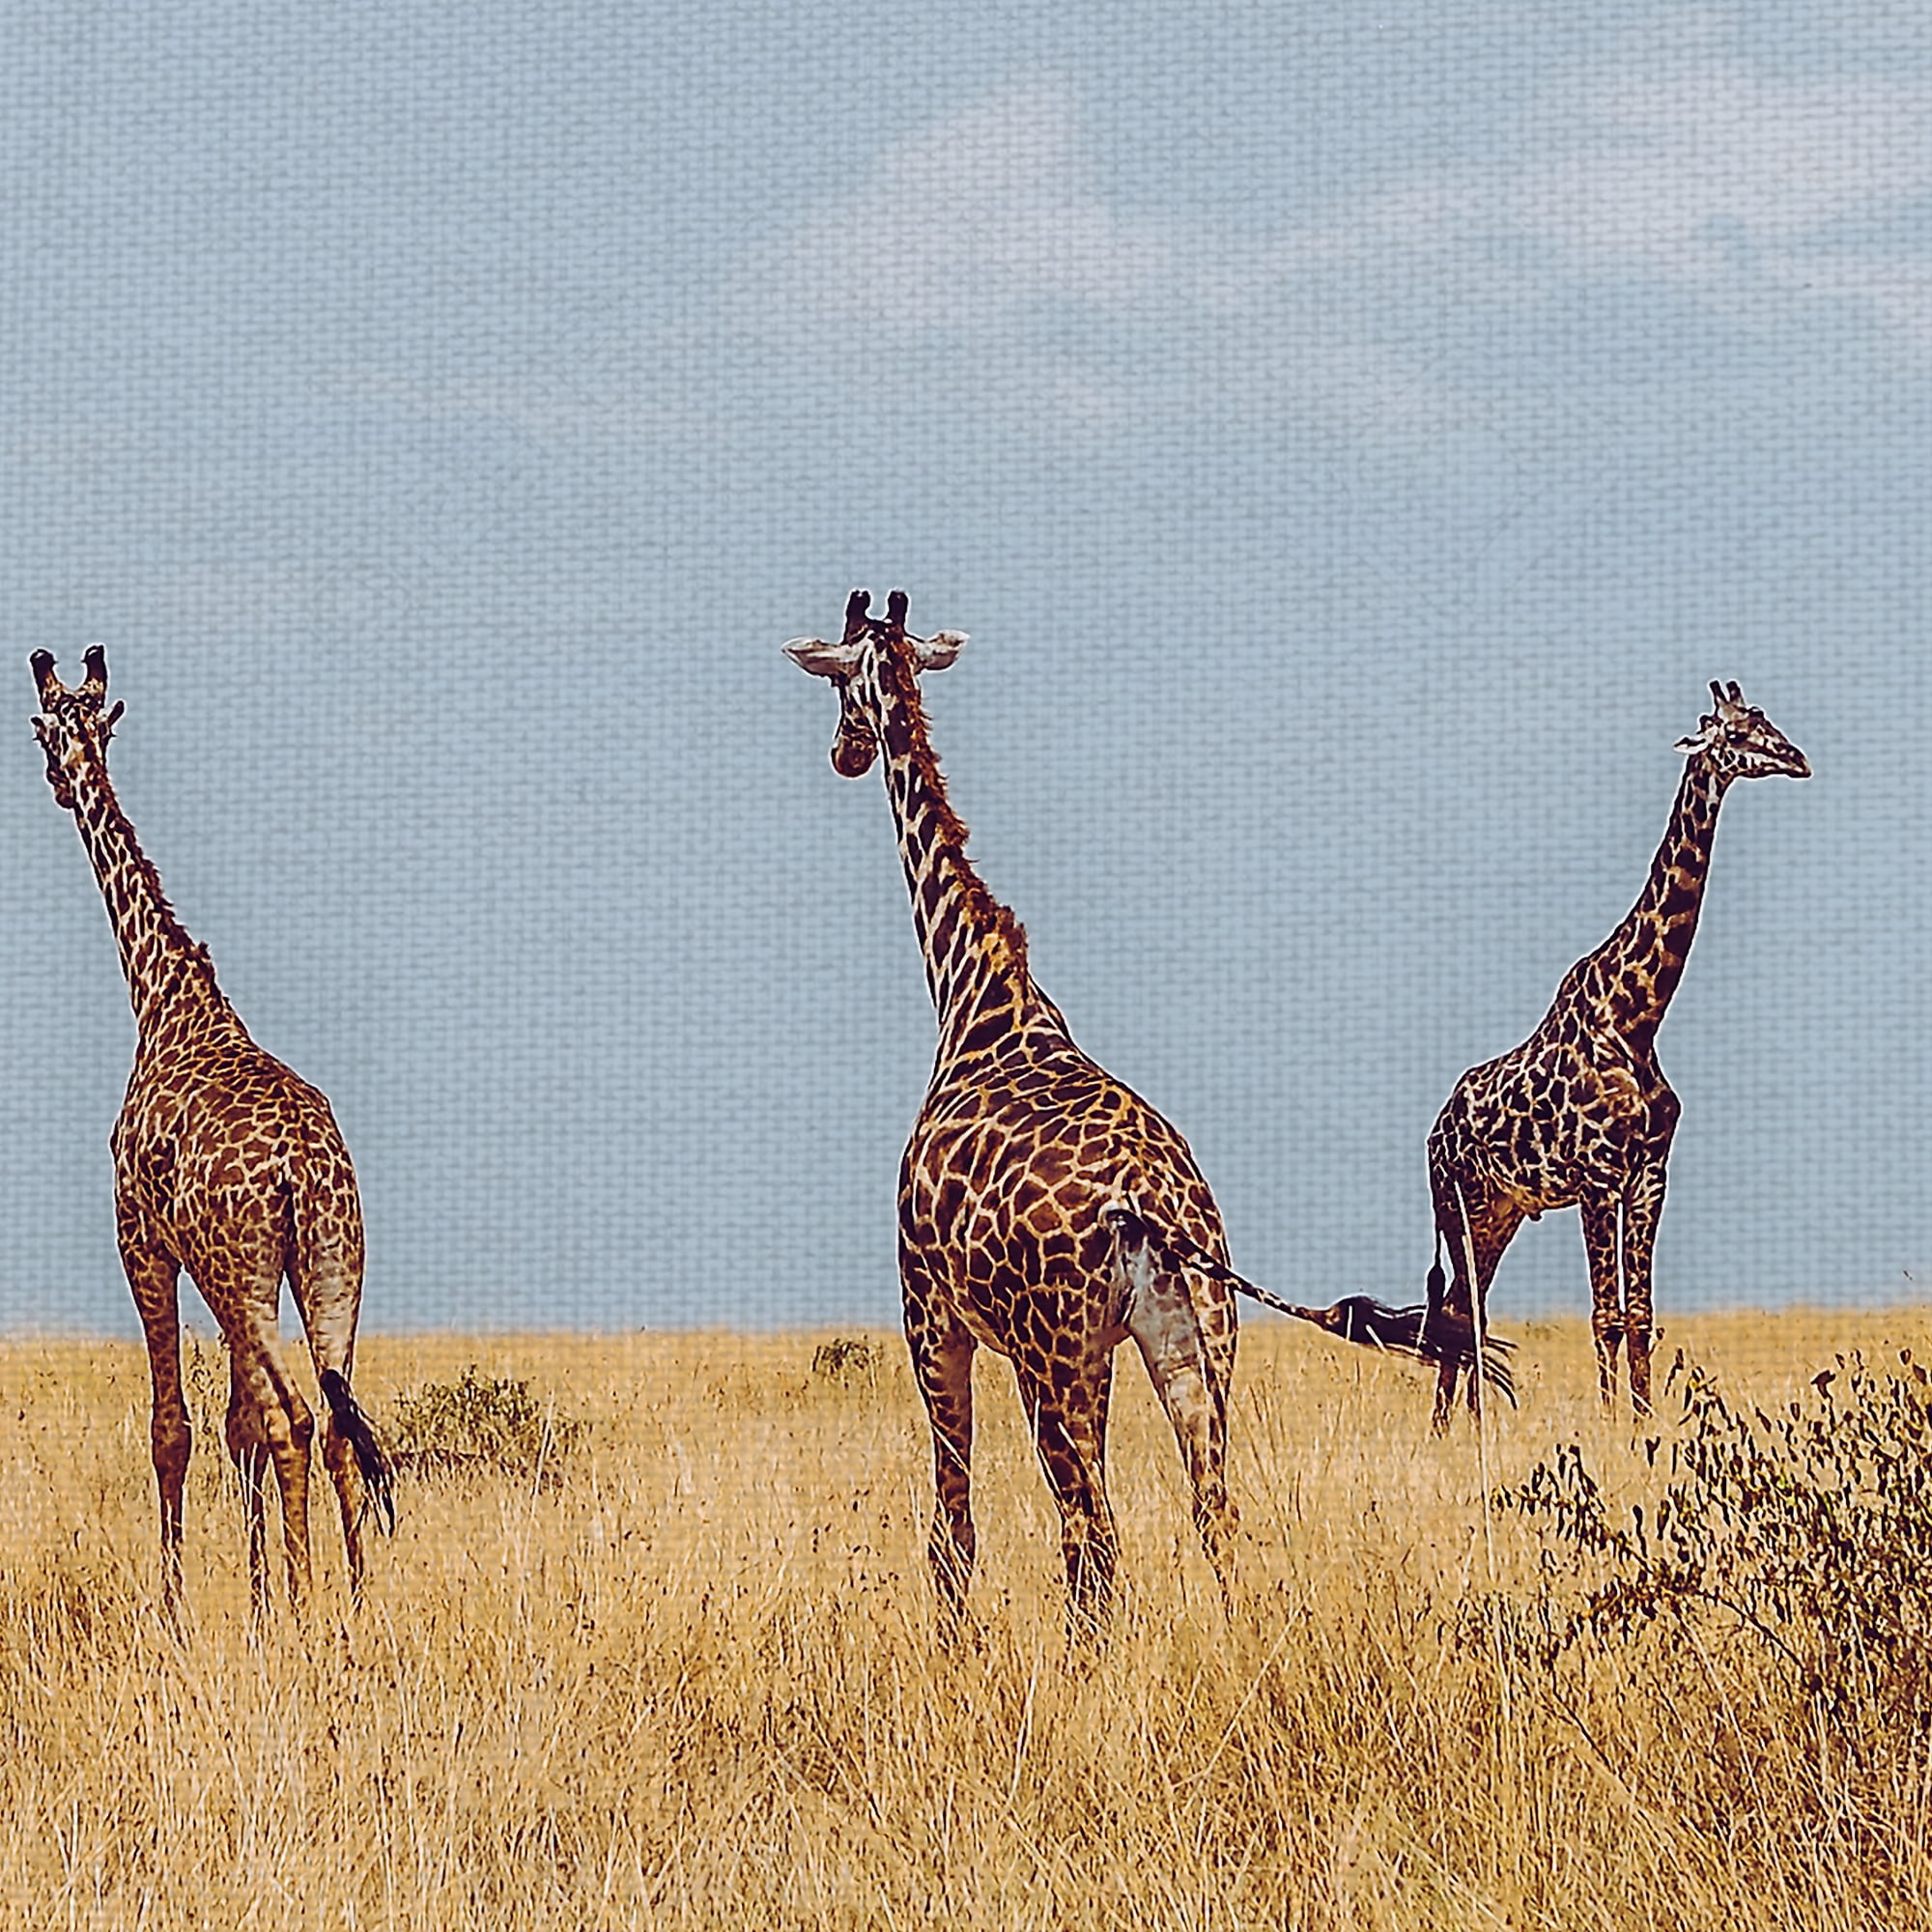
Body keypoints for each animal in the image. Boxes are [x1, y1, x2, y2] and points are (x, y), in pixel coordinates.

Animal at [31, 647, 394, 1622]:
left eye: (47, 728)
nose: (59, 784)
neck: (163, 997)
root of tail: (300, 1172)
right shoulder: (216, 1267)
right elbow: (233, 1428)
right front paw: (259, 1605)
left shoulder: (142, 1241)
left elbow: (175, 1428)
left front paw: (182, 1609)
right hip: (331, 1265)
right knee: (338, 1418)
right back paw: (355, 1603)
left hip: (245, 1274)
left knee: (295, 1418)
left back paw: (311, 1608)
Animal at [786, 591, 1503, 1634]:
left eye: (840, 683)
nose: (843, 753)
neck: (973, 995)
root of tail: (1150, 1207)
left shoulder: (930, 1313)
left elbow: (952, 1534)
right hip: (1193, 1337)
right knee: (1215, 1514)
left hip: (1054, 1353)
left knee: (1093, 1533)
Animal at [1423, 681, 1808, 1427]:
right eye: (1733, 735)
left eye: (1768, 720)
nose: (1798, 759)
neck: (1635, 1020)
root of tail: (1435, 1129)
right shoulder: (1598, 1178)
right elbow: (1605, 1315)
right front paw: (1612, 1425)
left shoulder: (1650, 1173)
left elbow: (1640, 1313)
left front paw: (1643, 1418)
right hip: (1457, 1203)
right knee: (1458, 1311)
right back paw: (1453, 1427)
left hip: (1500, 1213)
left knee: (1464, 1307)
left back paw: (1458, 1427)